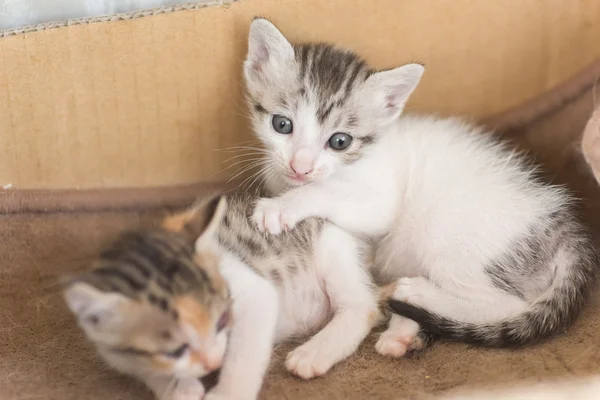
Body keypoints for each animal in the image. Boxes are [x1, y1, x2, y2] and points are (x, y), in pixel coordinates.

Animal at [64, 191, 384, 400]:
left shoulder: (252, 292)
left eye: (222, 321)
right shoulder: (113, 352)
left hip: (330, 242)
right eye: (173, 350)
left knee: (362, 306)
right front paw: (178, 387)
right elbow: (147, 369)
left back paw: (313, 352)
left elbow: (244, 352)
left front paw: (226, 393)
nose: (212, 363)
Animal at [244, 18, 600, 356]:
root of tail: (564, 225)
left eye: (340, 141)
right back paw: (400, 333)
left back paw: (412, 290)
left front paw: (280, 208)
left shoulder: (379, 197)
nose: (300, 166)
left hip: (447, 234)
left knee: (508, 303)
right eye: (282, 124)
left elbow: (333, 195)